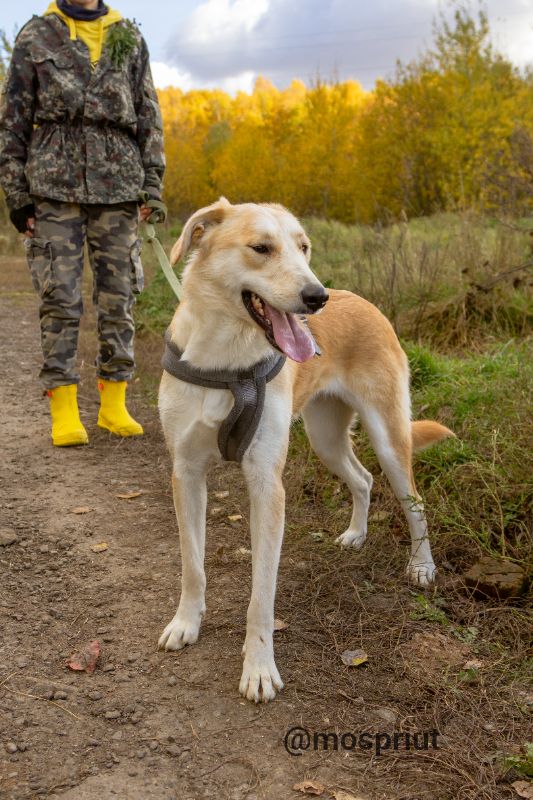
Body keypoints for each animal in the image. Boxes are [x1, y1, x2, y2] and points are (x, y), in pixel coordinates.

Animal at [156, 198, 450, 700]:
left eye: (304, 247)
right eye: (261, 248)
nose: (317, 297)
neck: (226, 360)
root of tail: (364, 301)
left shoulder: (266, 485)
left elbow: (261, 598)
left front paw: (258, 668)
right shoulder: (186, 473)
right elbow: (192, 564)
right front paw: (185, 623)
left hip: (389, 438)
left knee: (415, 500)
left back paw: (421, 566)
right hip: (325, 439)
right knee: (362, 479)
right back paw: (356, 534)